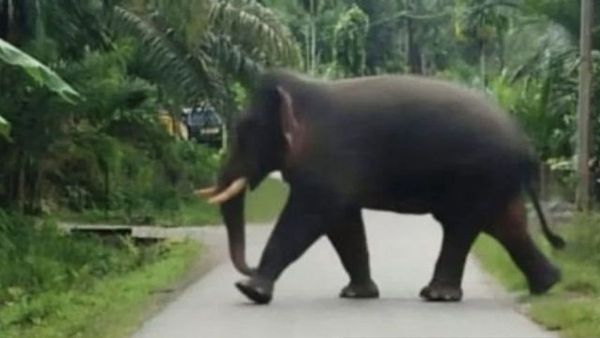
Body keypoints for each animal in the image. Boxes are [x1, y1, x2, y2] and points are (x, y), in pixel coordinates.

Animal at [199, 68, 564, 304]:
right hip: (494, 182)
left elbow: (307, 218)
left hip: (479, 177)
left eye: (245, 130)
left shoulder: (329, 163)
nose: (248, 265)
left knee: (463, 226)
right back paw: (546, 286)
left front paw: (250, 290)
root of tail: (528, 147)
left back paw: (437, 295)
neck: (305, 90)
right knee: (506, 225)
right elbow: (344, 225)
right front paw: (356, 295)